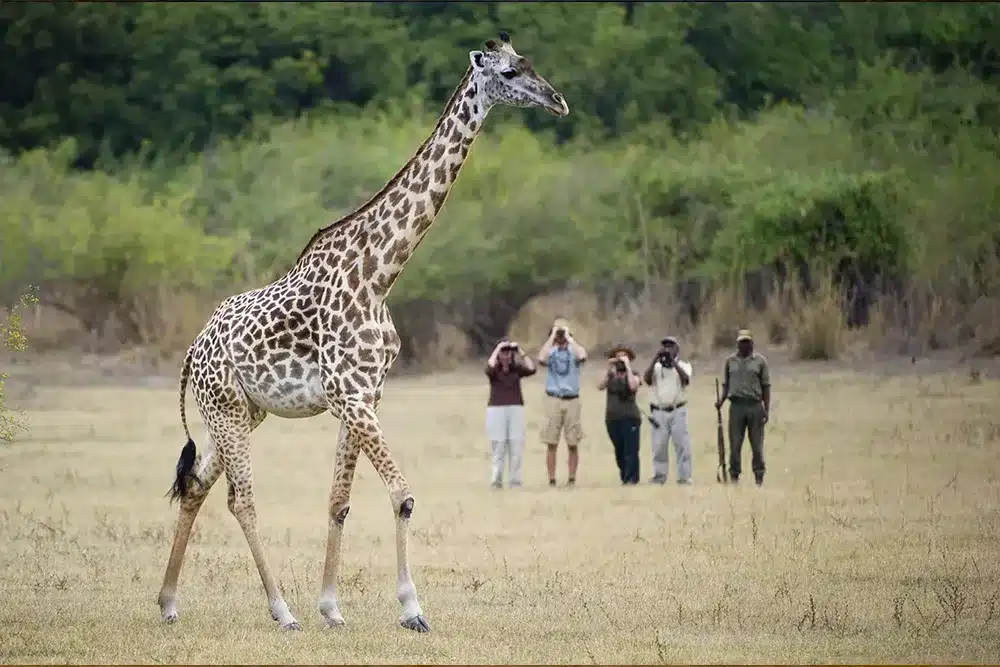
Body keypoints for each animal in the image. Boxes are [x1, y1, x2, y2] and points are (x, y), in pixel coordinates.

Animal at [156, 31, 569, 633]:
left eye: (529, 63)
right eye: (511, 73)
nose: (558, 101)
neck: (379, 274)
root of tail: (192, 350)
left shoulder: (365, 395)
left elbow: (339, 501)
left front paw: (332, 607)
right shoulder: (350, 396)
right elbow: (402, 496)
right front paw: (412, 609)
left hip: (240, 413)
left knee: (196, 485)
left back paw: (168, 603)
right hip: (228, 411)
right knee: (241, 500)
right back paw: (281, 611)